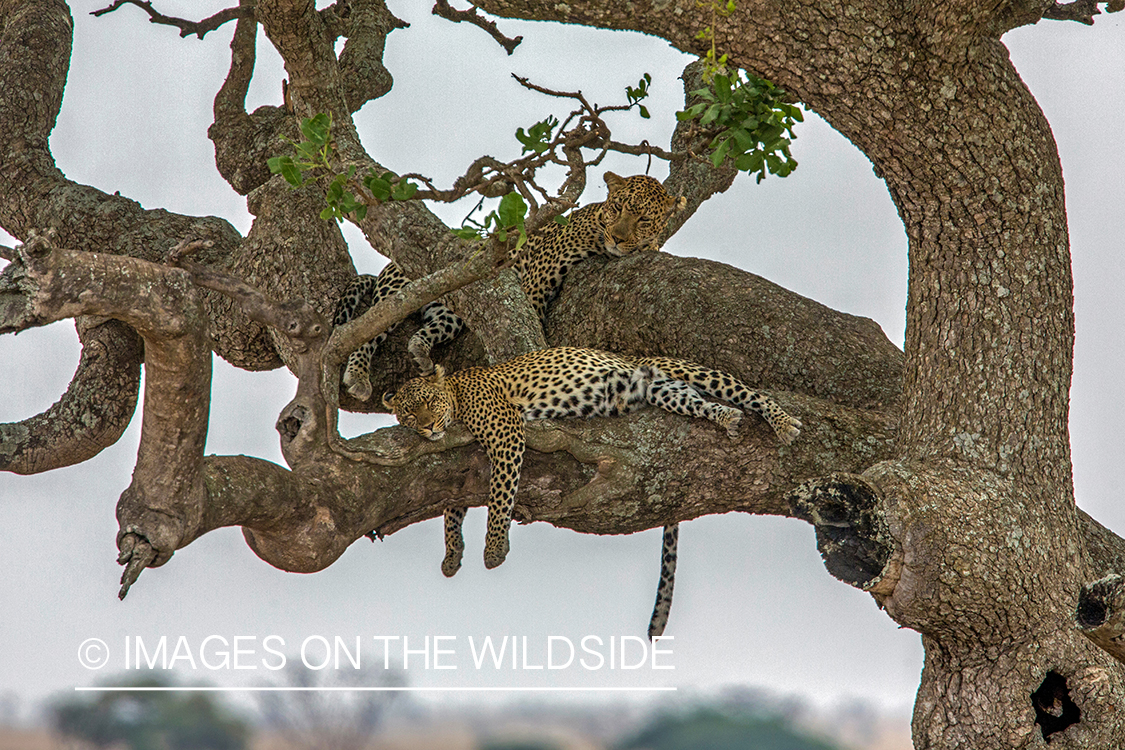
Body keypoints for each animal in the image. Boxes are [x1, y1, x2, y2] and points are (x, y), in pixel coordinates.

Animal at [330, 173, 684, 402]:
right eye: (618, 208)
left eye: (644, 220)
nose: (618, 238)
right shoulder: (535, 283)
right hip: (402, 290)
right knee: (366, 332)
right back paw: (358, 375)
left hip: (453, 311)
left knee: (429, 328)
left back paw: (421, 349)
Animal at [382, 348, 805, 638]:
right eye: (409, 414)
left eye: (428, 402)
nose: (428, 427)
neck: (456, 392)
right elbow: (452, 508)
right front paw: (453, 553)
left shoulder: (505, 433)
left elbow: (500, 494)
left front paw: (495, 547)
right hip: (665, 392)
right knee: (699, 403)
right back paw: (726, 418)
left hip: (687, 370)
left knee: (749, 393)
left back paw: (783, 422)